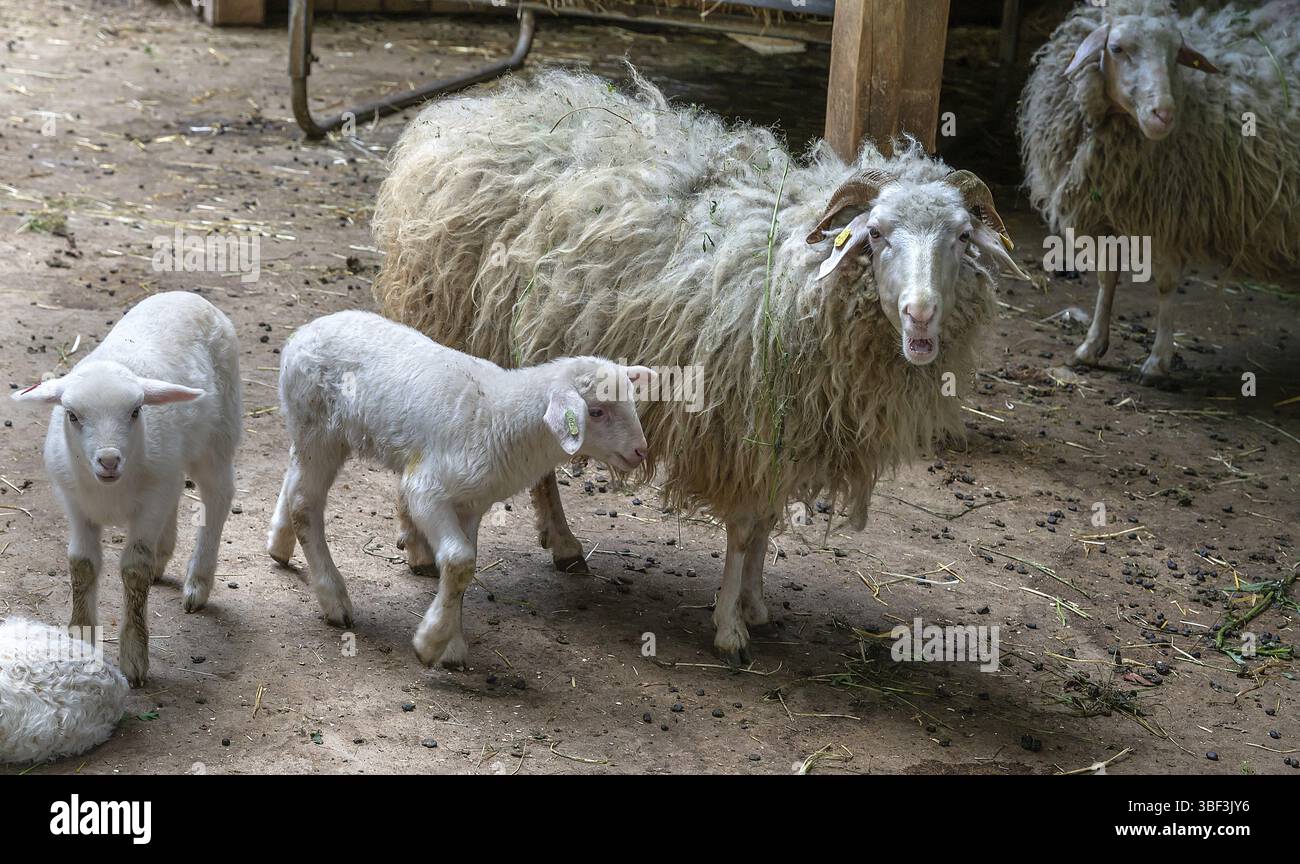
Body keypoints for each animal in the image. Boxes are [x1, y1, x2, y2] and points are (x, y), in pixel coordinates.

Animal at [11, 291, 242, 687]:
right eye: (72, 415)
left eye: (136, 411)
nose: (108, 460)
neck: (110, 491)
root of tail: (187, 295)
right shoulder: (75, 504)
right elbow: (82, 565)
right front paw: (80, 639)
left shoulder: (148, 506)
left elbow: (135, 570)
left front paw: (134, 657)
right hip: (173, 465)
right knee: (177, 493)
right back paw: (164, 558)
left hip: (218, 437)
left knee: (217, 498)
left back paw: (198, 582)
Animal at [266, 310, 652, 668]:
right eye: (596, 412)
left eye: (632, 402)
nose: (640, 451)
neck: (500, 418)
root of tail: (305, 331)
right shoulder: (425, 490)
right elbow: (460, 560)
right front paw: (430, 642)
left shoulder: (471, 504)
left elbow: (464, 569)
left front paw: (451, 644)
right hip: (319, 427)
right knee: (304, 504)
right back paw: (334, 598)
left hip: (311, 434)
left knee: (292, 477)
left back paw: (279, 546)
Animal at [371, 68, 1027, 663]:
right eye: (879, 234)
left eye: (962, 236)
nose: (921, 314)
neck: (797, 273)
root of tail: (462, 112)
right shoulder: (740, 424)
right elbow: (743, 529)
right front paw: (730, 628)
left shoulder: (782, 432)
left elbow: (766, 524)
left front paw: (757, 606)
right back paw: (421, 548)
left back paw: (561, 543)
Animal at [1019, 0, 1300, 381]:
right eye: (1117, 49)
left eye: (1176, 54)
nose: (1164, 114)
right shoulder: (1108, 212)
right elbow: (1106, 278)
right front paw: (1091, 347)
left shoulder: (1171, 213)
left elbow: (1166, 284)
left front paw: (1157, 361)